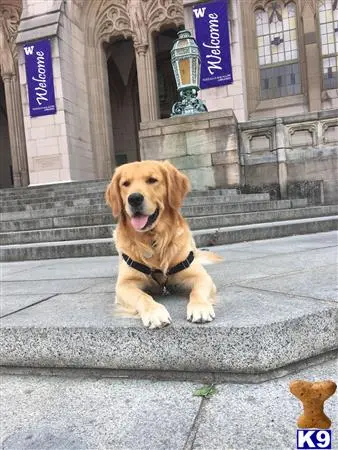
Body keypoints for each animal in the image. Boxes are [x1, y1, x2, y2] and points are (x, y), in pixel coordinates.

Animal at [105, 160, 222, 328]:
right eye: (125, 183)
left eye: (152, 180)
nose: (134, 198)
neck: (153, 239)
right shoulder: (125, 285)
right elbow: (142, 296)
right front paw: (154, 312)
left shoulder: (200, 276)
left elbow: (197, 291)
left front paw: (200, 308)